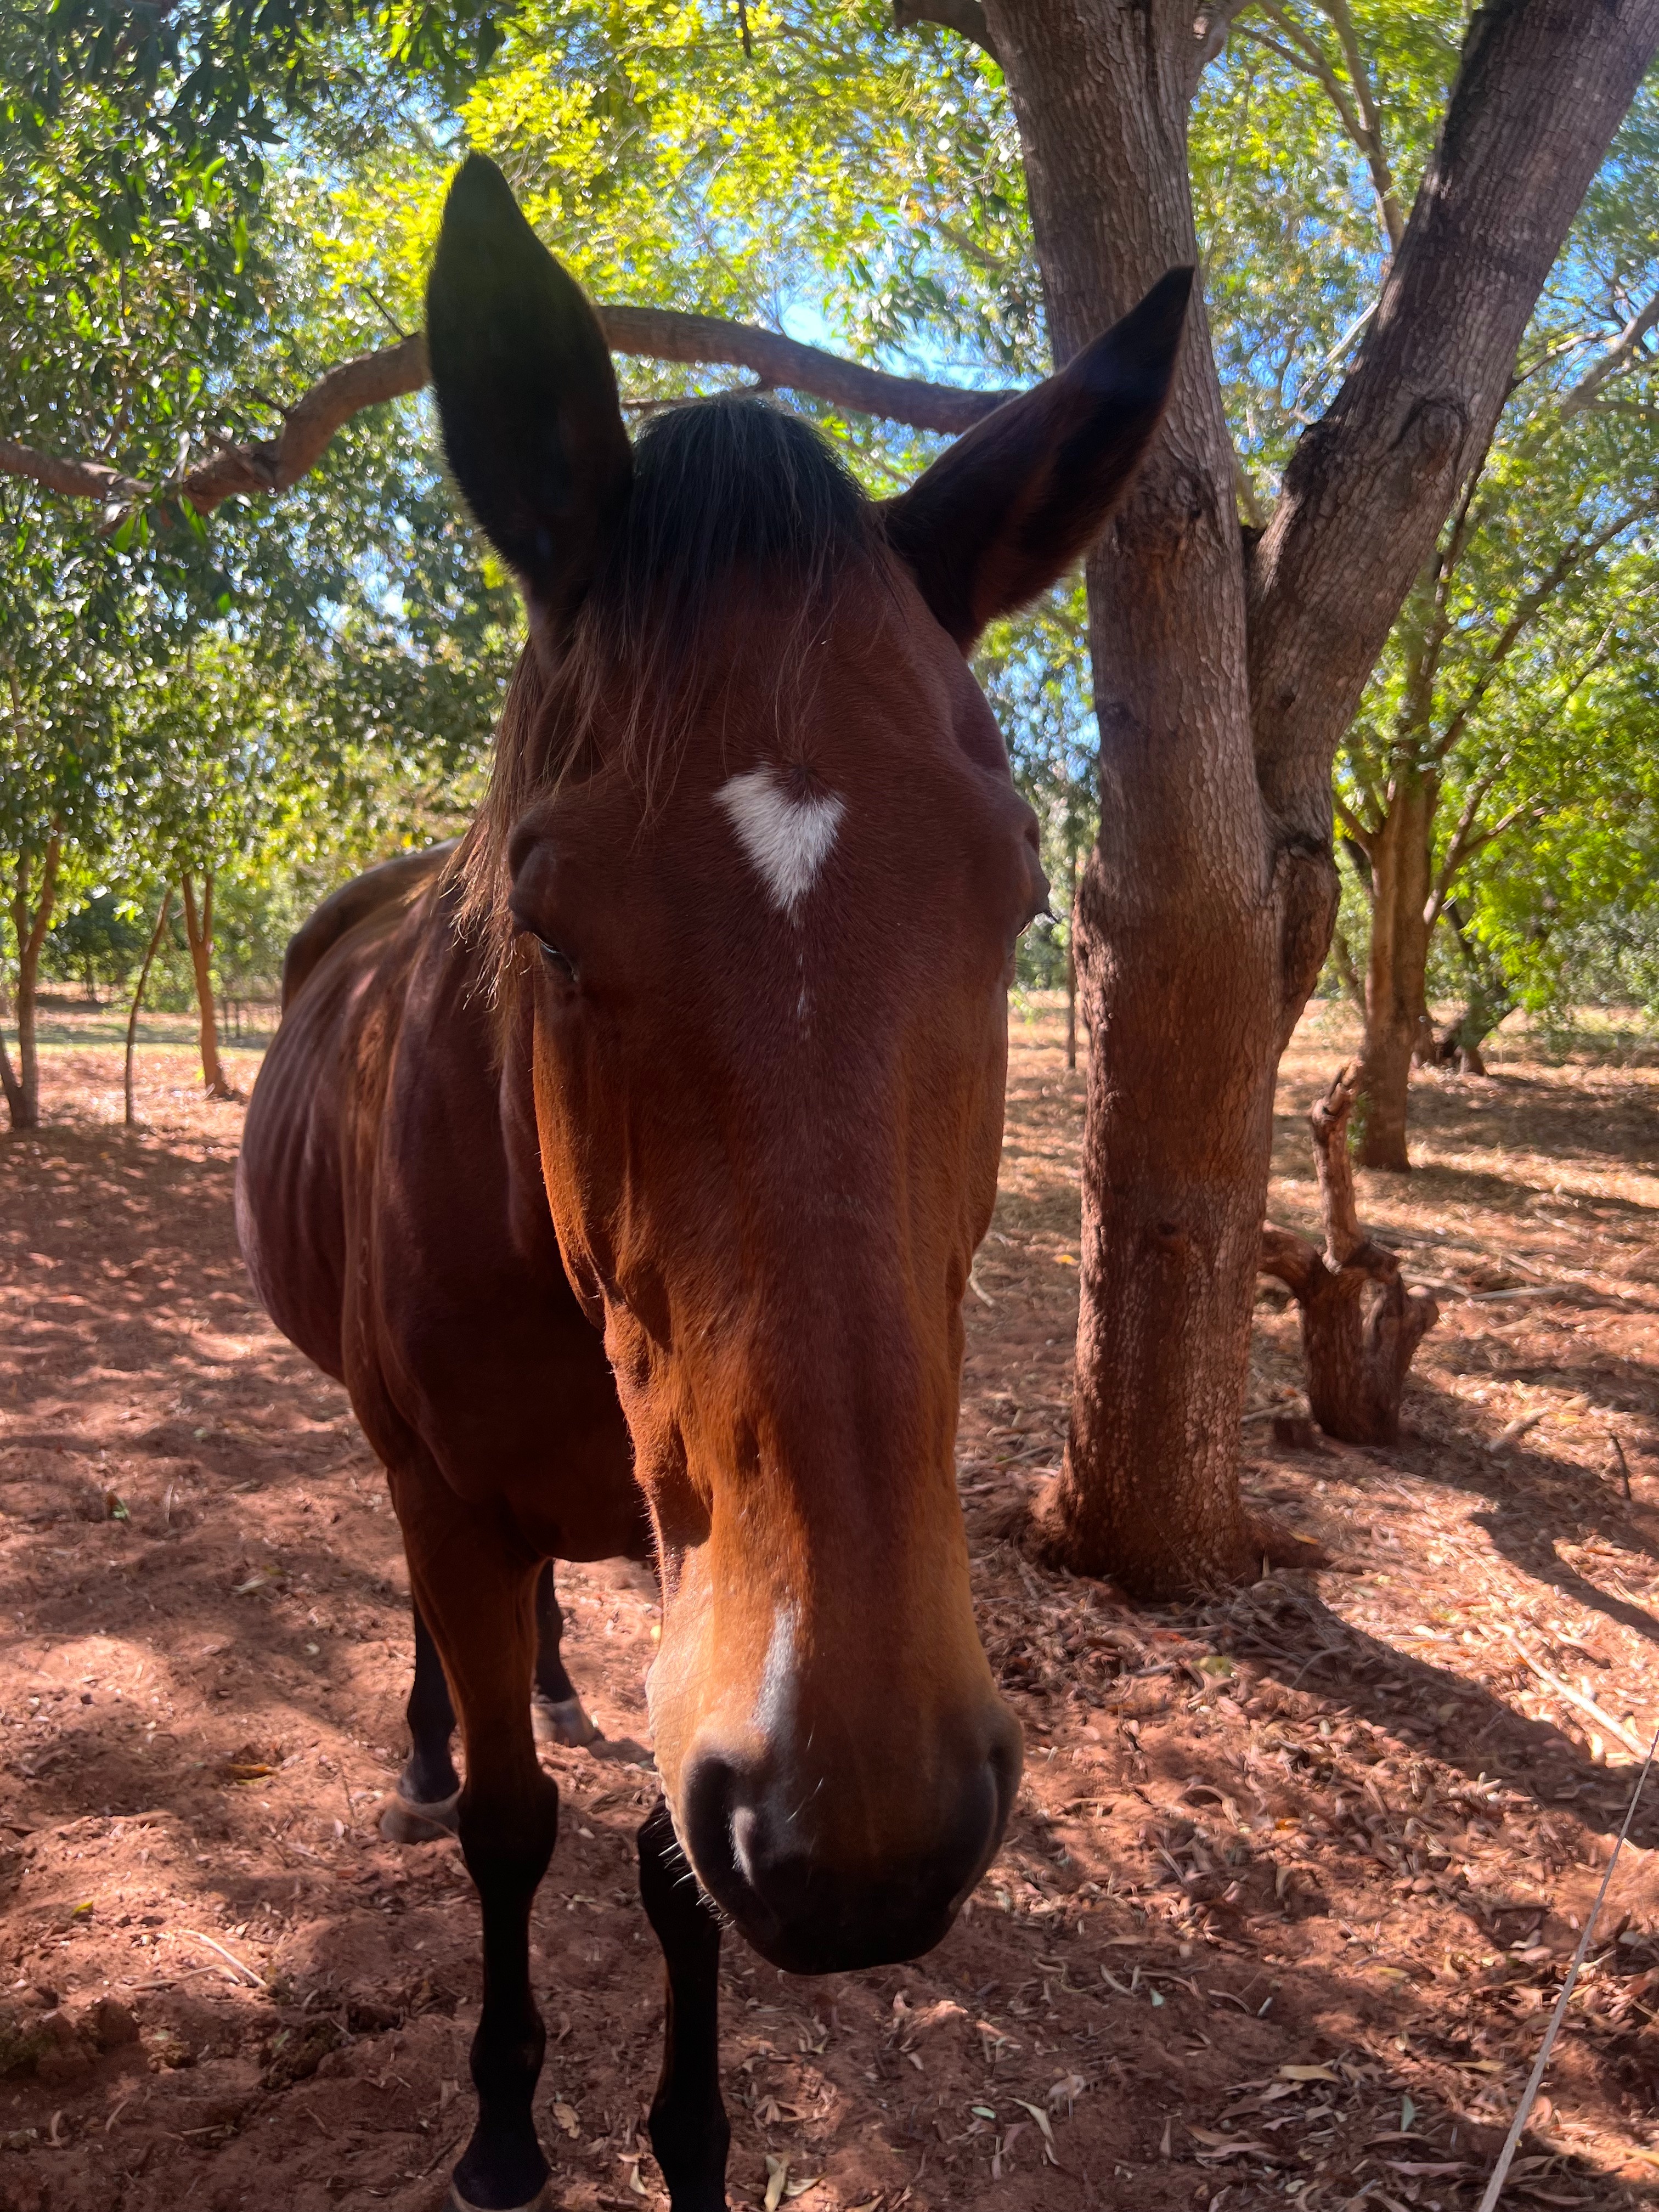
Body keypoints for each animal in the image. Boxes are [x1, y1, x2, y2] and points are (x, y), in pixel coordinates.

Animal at [235, 152, 1188, 2212]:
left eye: (1015, 899)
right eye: (541, 918)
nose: (874, 1834)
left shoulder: (702, 1607)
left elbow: (675, 1876)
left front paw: (686, 2142)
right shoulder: (456, 1496)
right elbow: (513, 1832)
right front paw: (504, 2128)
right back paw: (433, 1736)